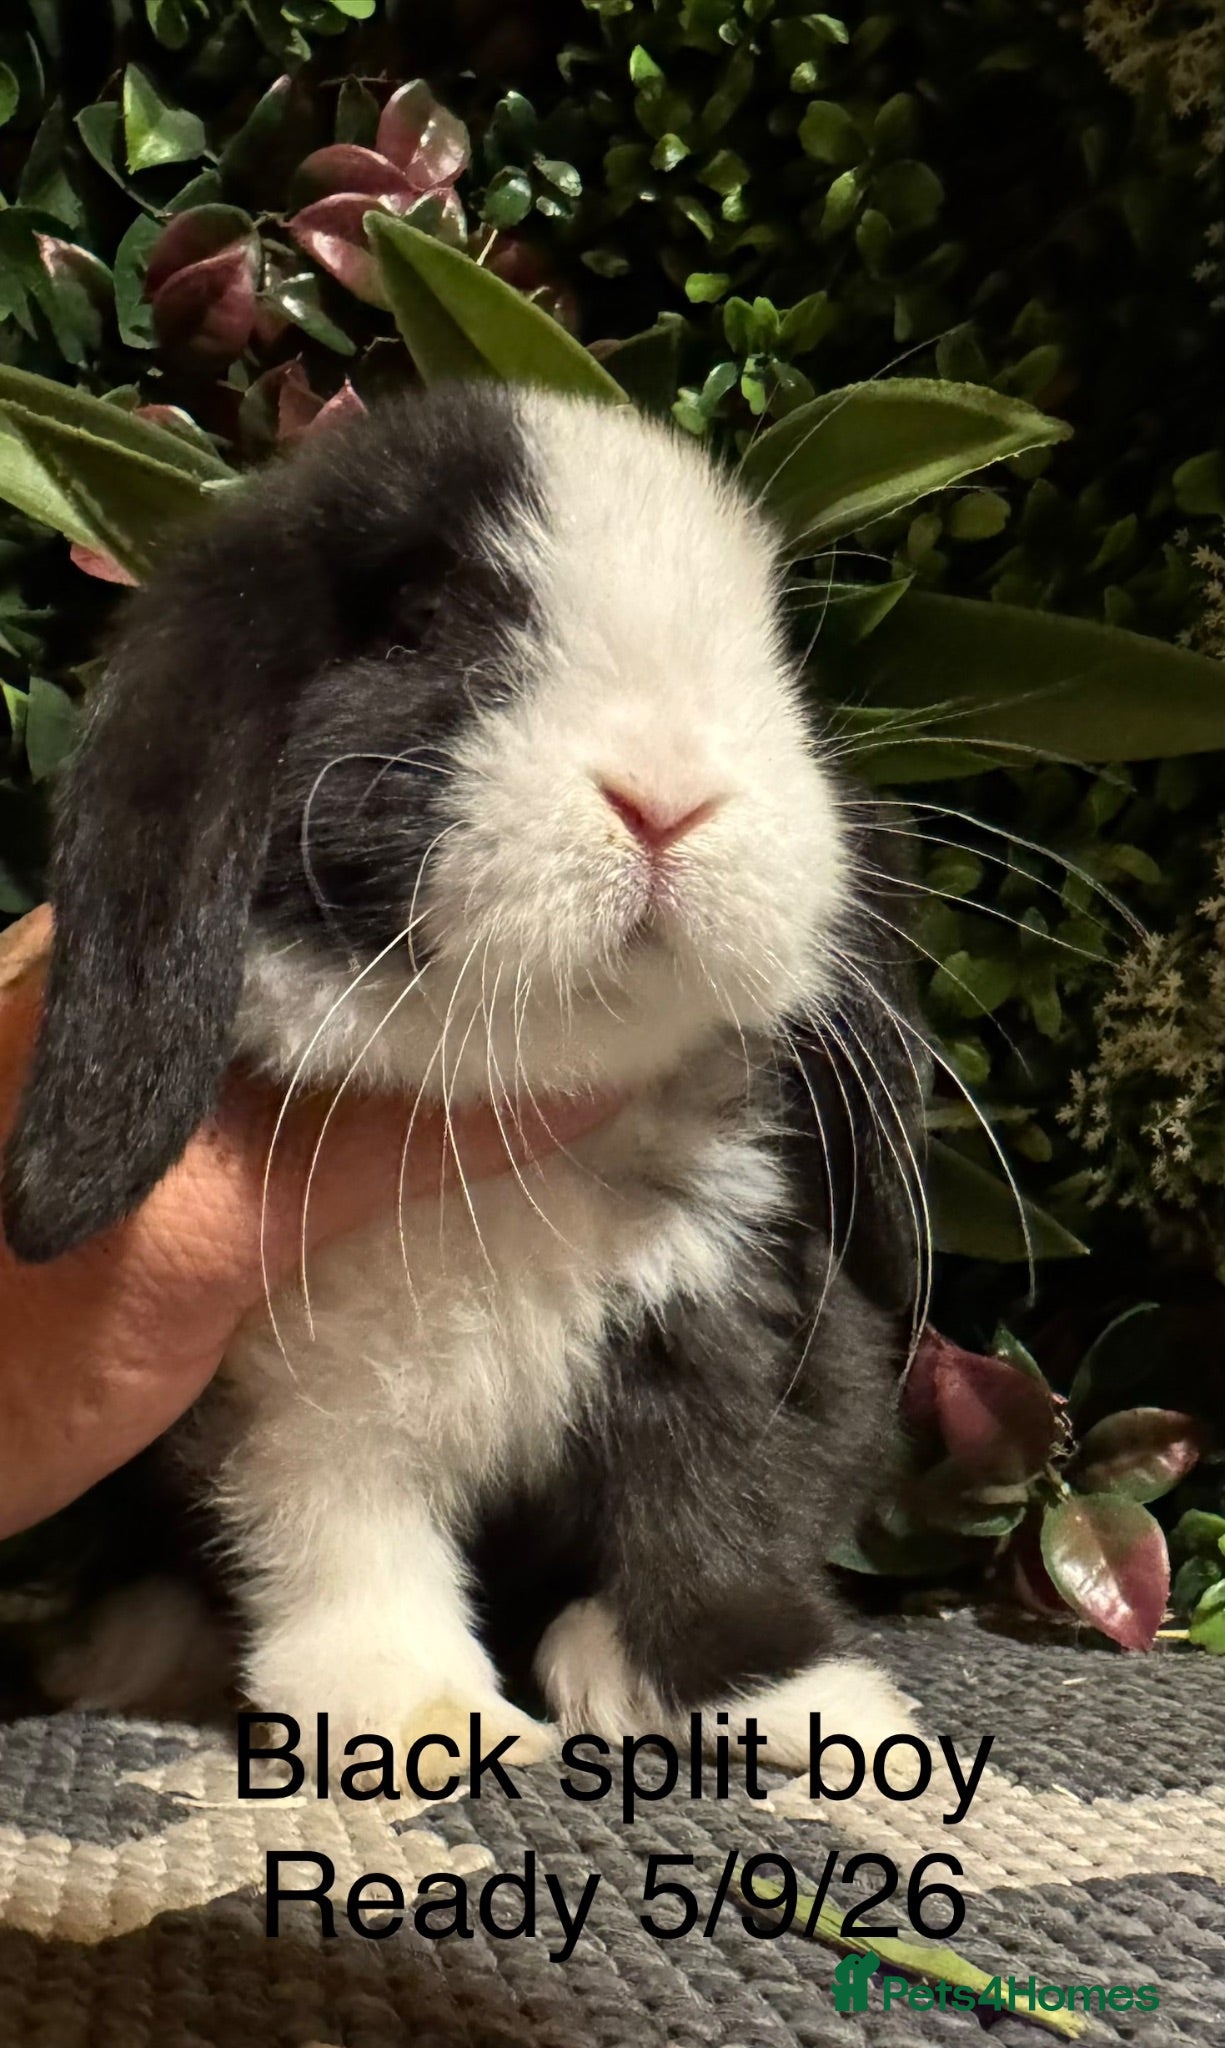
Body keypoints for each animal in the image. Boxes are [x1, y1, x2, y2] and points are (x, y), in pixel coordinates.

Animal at [2, 383, 927, 1784]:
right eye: (419, 622)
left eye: (776, 651)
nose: (671, 797)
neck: (499, 1123)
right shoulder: (297, 1399)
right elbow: (340, 1531)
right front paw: (424, 1723)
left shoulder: (733, 1320)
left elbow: (718, 1508)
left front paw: (781, 1706)